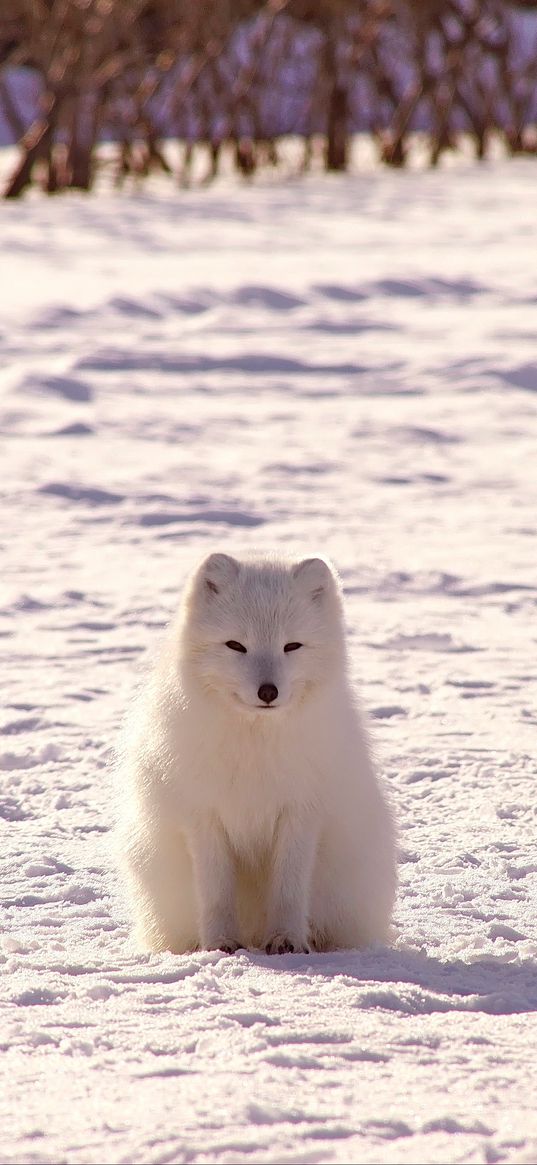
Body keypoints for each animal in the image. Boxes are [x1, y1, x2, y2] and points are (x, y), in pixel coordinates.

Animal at [119, 554, 396, 955]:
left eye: (291, 646)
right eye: (236, 645)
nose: (268, 691)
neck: (254, 744)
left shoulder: (301, 813)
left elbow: (289, 889)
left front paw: (287, 940)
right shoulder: (203, 816)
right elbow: (216, 892)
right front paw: (219, 944)